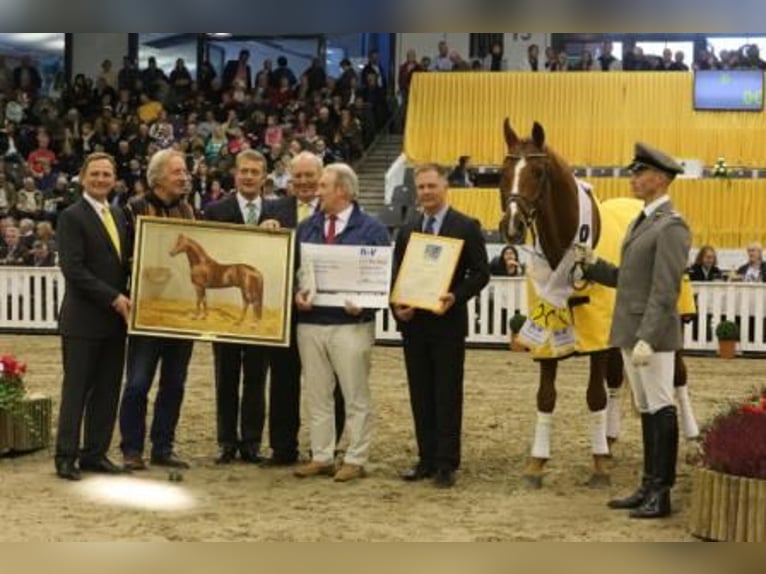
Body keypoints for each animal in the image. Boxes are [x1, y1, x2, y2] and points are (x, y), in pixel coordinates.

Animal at [498, 119, 704, 488]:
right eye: (502, 171)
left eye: (537, 171)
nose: (512, 226)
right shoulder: (547, 339)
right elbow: (546, 397)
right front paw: (537, 464)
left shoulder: (596, 341)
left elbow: (593, 396)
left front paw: (597, 467)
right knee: (617, 381)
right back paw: (608, 440)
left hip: (673, 327)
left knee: (678, 378)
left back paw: (693, 444)